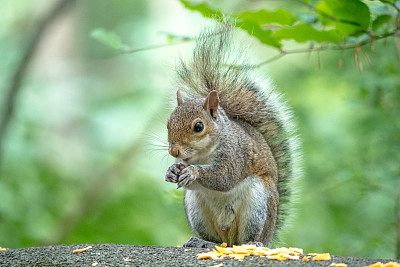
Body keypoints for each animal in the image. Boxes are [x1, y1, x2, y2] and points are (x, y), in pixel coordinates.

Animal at [163, 23, 300, 249]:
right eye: (168, 123)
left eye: (198, 126)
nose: (174, 151)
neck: (203, 155)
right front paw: (172, 171)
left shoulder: (236, 153)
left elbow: (225, 177)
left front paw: (193, 172)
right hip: (196, 207)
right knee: (214, 238)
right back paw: (201, 242)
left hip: (258, 202)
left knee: (249, 236)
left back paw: (251, 244)